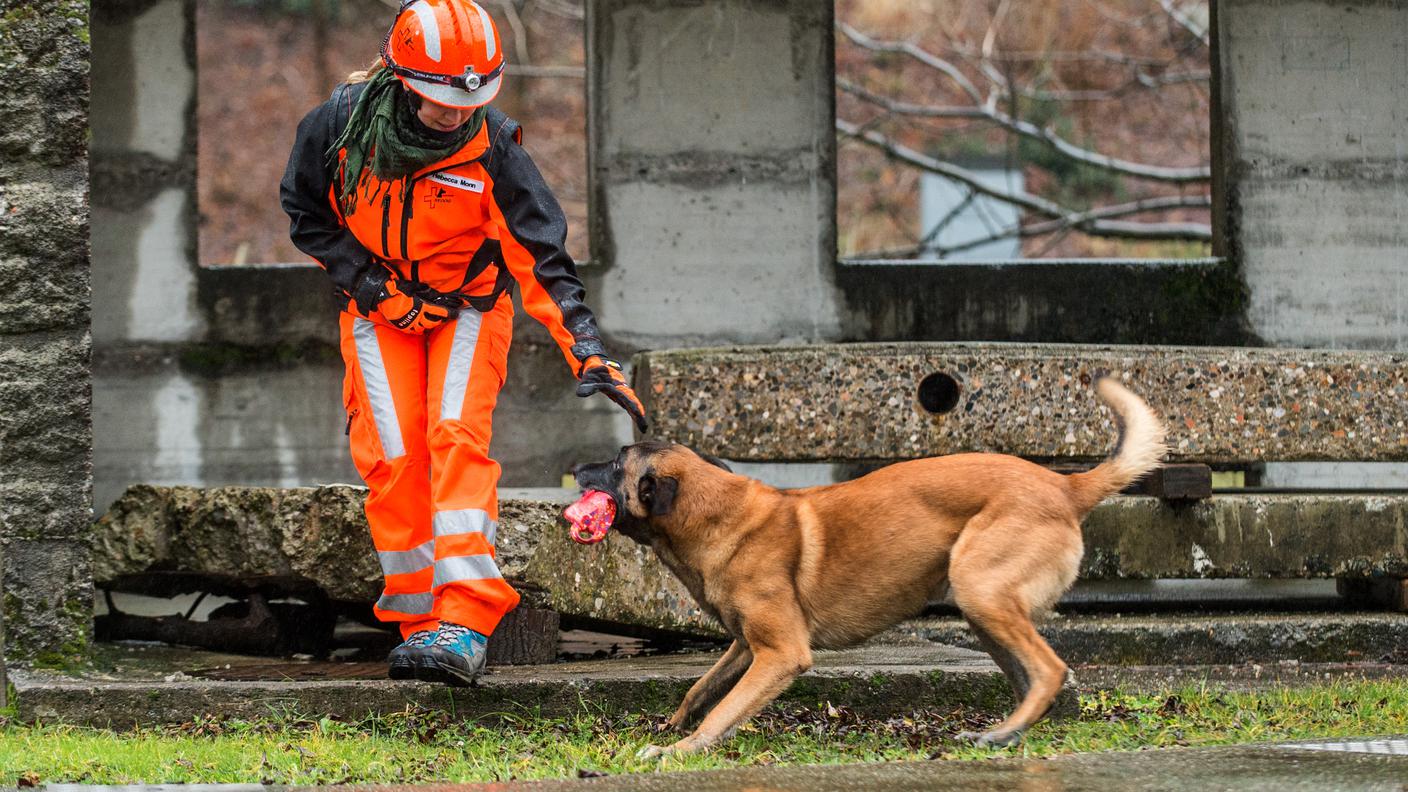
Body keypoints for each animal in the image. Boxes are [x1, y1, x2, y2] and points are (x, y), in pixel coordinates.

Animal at [571, 372, 1165, 755]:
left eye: (616, 464)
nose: (575, 469)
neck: (721, 516)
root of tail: (1066, 486)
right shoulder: (746, 646)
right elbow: (703, 689)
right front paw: (670, 727)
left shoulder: (781, 654)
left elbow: (723, 709)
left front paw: (684, 749)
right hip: (983, 607)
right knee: (1032, 678)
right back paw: (1006, 733)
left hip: (982, 591)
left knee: (1050, 670)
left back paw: (999, 734)